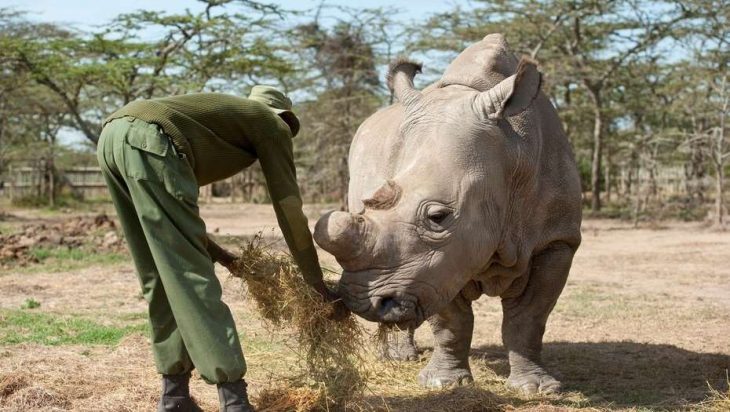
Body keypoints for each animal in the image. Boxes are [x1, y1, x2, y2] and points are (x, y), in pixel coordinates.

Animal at [312, 34, 580, 392]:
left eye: (437, 217)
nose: (360, 301)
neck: (508, 156)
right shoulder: (435, 264)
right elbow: (450, 320)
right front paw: (443, 383)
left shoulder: (557, 239)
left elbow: (529, 318)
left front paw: (537, 388)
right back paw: (398, 358)